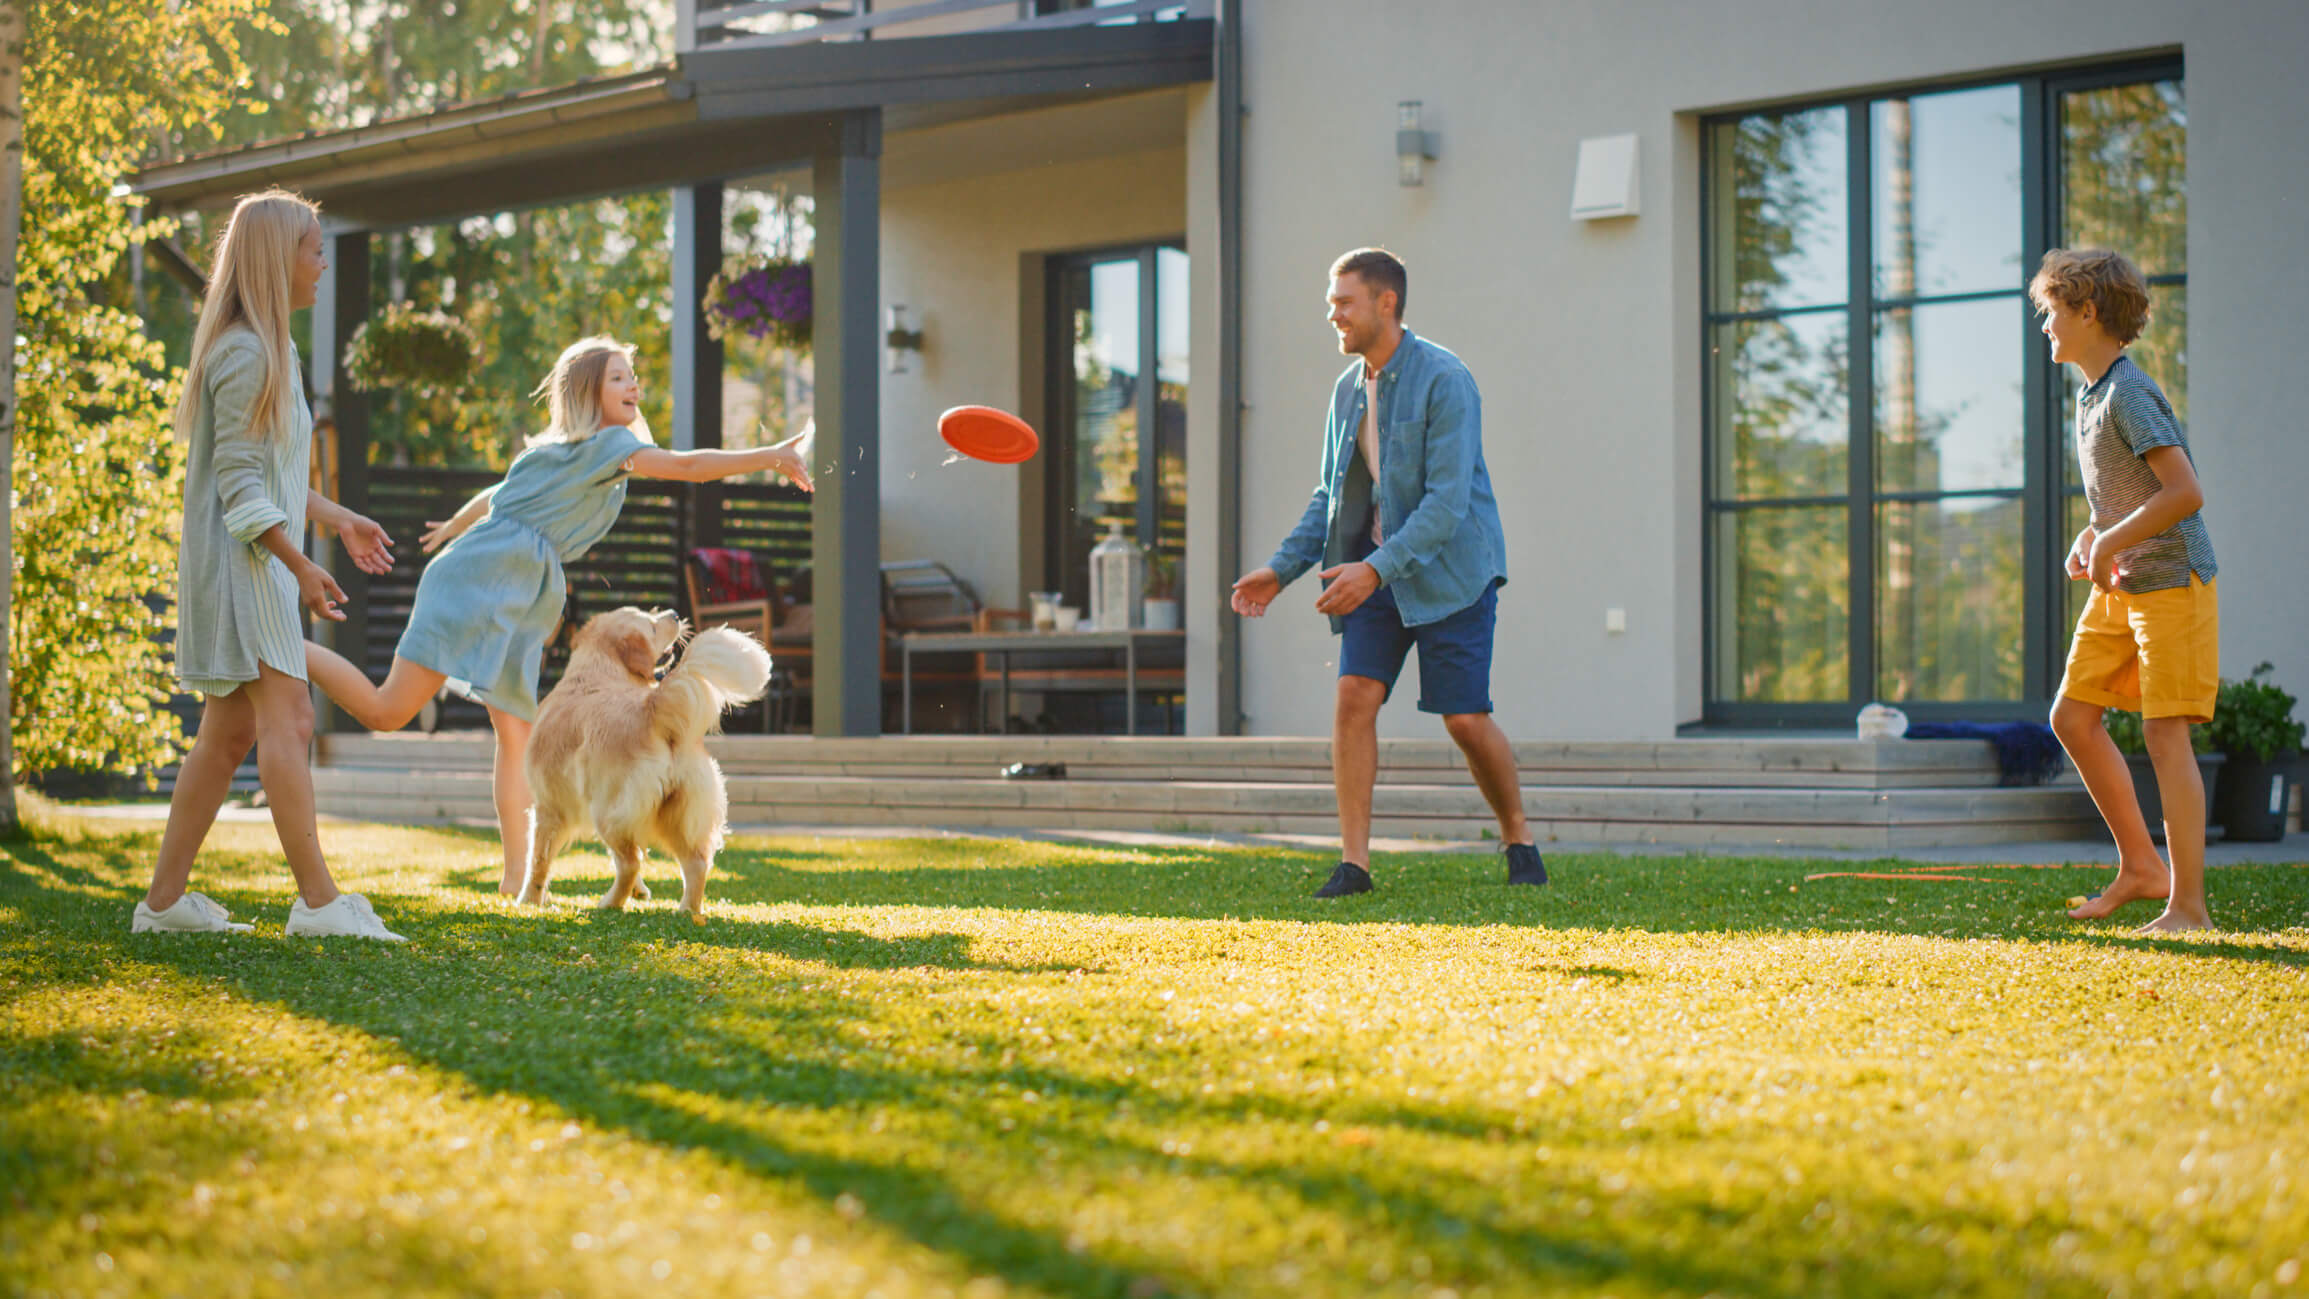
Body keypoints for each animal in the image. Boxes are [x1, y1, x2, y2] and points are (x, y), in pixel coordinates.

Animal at [519, 613, 771, 918]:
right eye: (651, 621)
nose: (674, 614)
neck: (598, 671)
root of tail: (653, 707)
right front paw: (640, 892)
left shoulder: (548, 808)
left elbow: (537, 861)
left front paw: (529, 900)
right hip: (678, 814)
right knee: (695, 863)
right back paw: (687, 911)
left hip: (607, 812)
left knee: (630, 862)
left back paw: (609, 903)